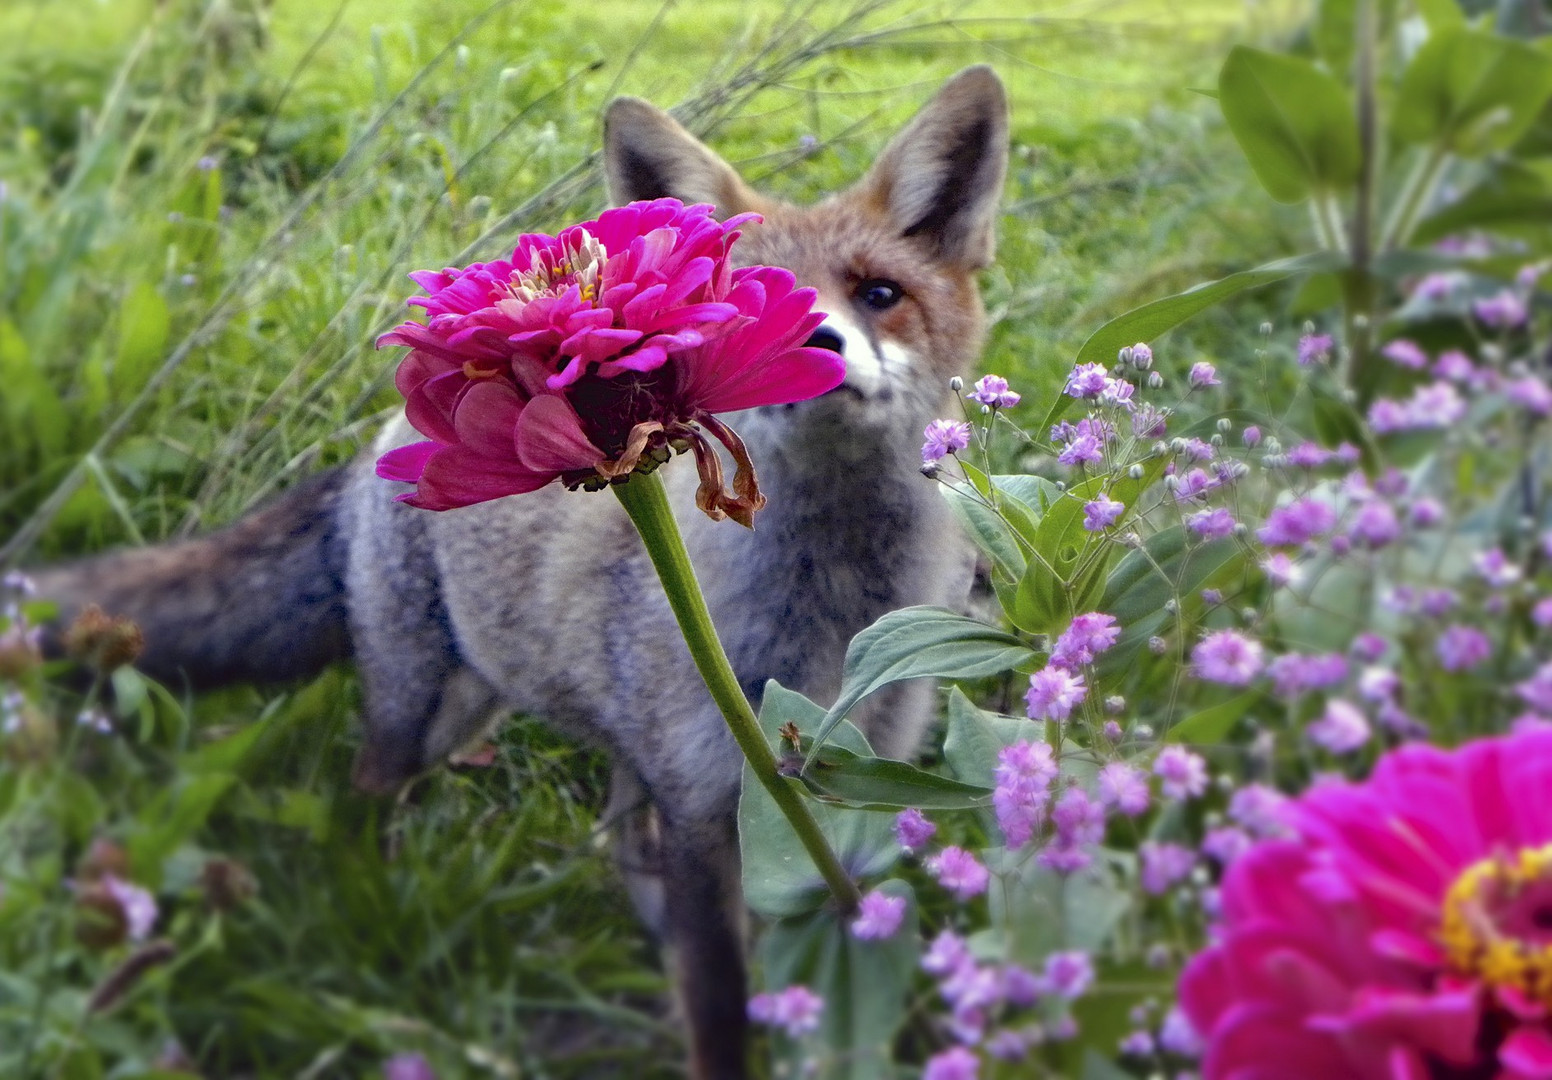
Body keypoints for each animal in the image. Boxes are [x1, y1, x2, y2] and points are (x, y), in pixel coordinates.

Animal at [33, 67, 1018, 1080]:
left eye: (878, 293)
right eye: (751, 298)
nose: (817, 340)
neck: (829, 627)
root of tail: (382, 444)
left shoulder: (846, 788)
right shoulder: (707, 809)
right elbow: (719, 1014)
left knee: (617, 827)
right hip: (429, 712)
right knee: (370, 793)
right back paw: (373, 905)